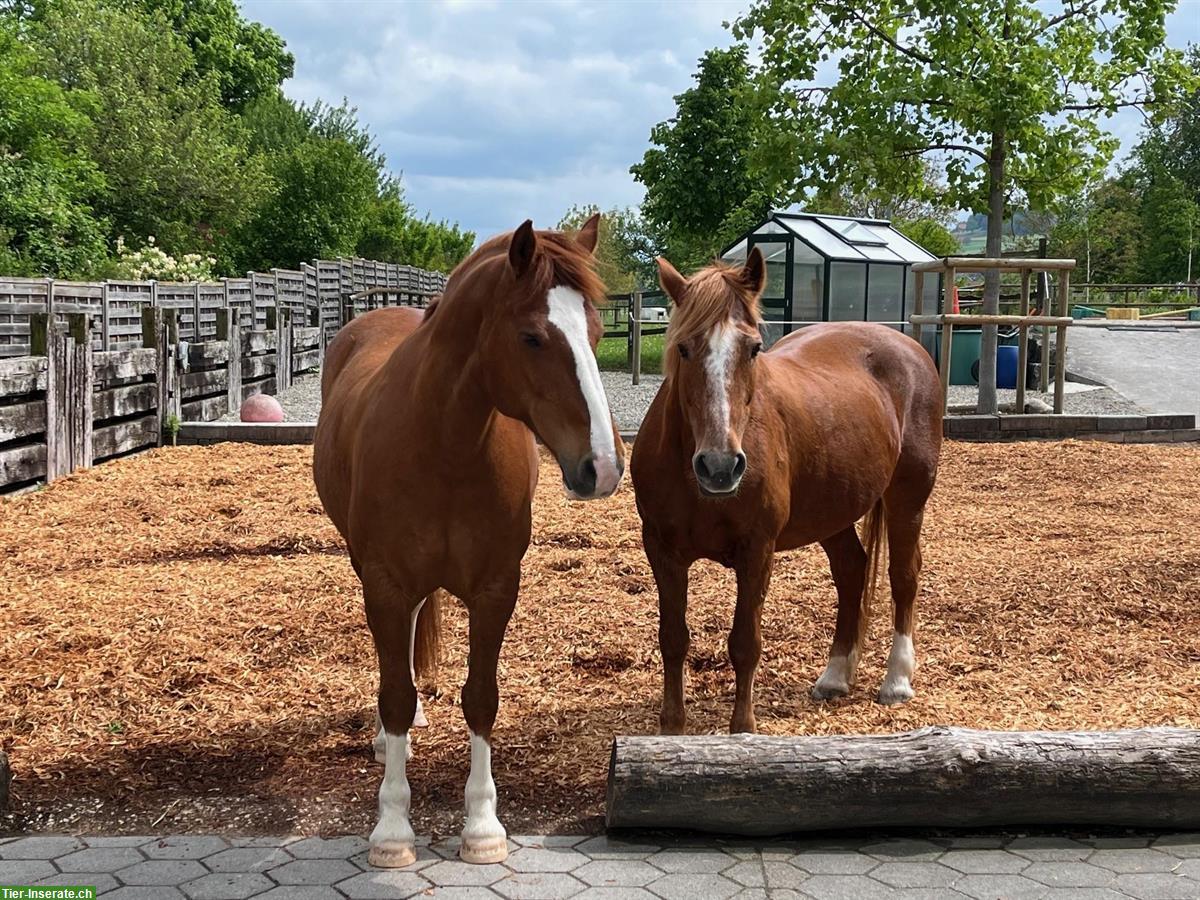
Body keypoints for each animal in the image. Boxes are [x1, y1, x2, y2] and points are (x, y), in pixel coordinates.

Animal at [314, 214, 624, 868]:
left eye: (596, 331)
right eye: (533, 337)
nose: (604, 468)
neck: (443, 445)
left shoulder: (496, 588)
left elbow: (482, 698)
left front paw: (482, 825)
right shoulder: (385, 585)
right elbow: (395, 696)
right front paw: (392, 829)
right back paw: (388, 742)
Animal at [628, 248, 945, 739]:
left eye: (754, 348)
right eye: (683, 347)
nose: (720, 466)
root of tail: (907, 346)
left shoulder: (758, 550)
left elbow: (744, 643)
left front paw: (743, 729)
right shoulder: (662, 549)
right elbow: (673, 638)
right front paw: (672, 731)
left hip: (907, 499)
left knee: (904, 576)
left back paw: (896, 680)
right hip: (832, 511)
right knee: (851, 572)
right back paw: (835, 676)